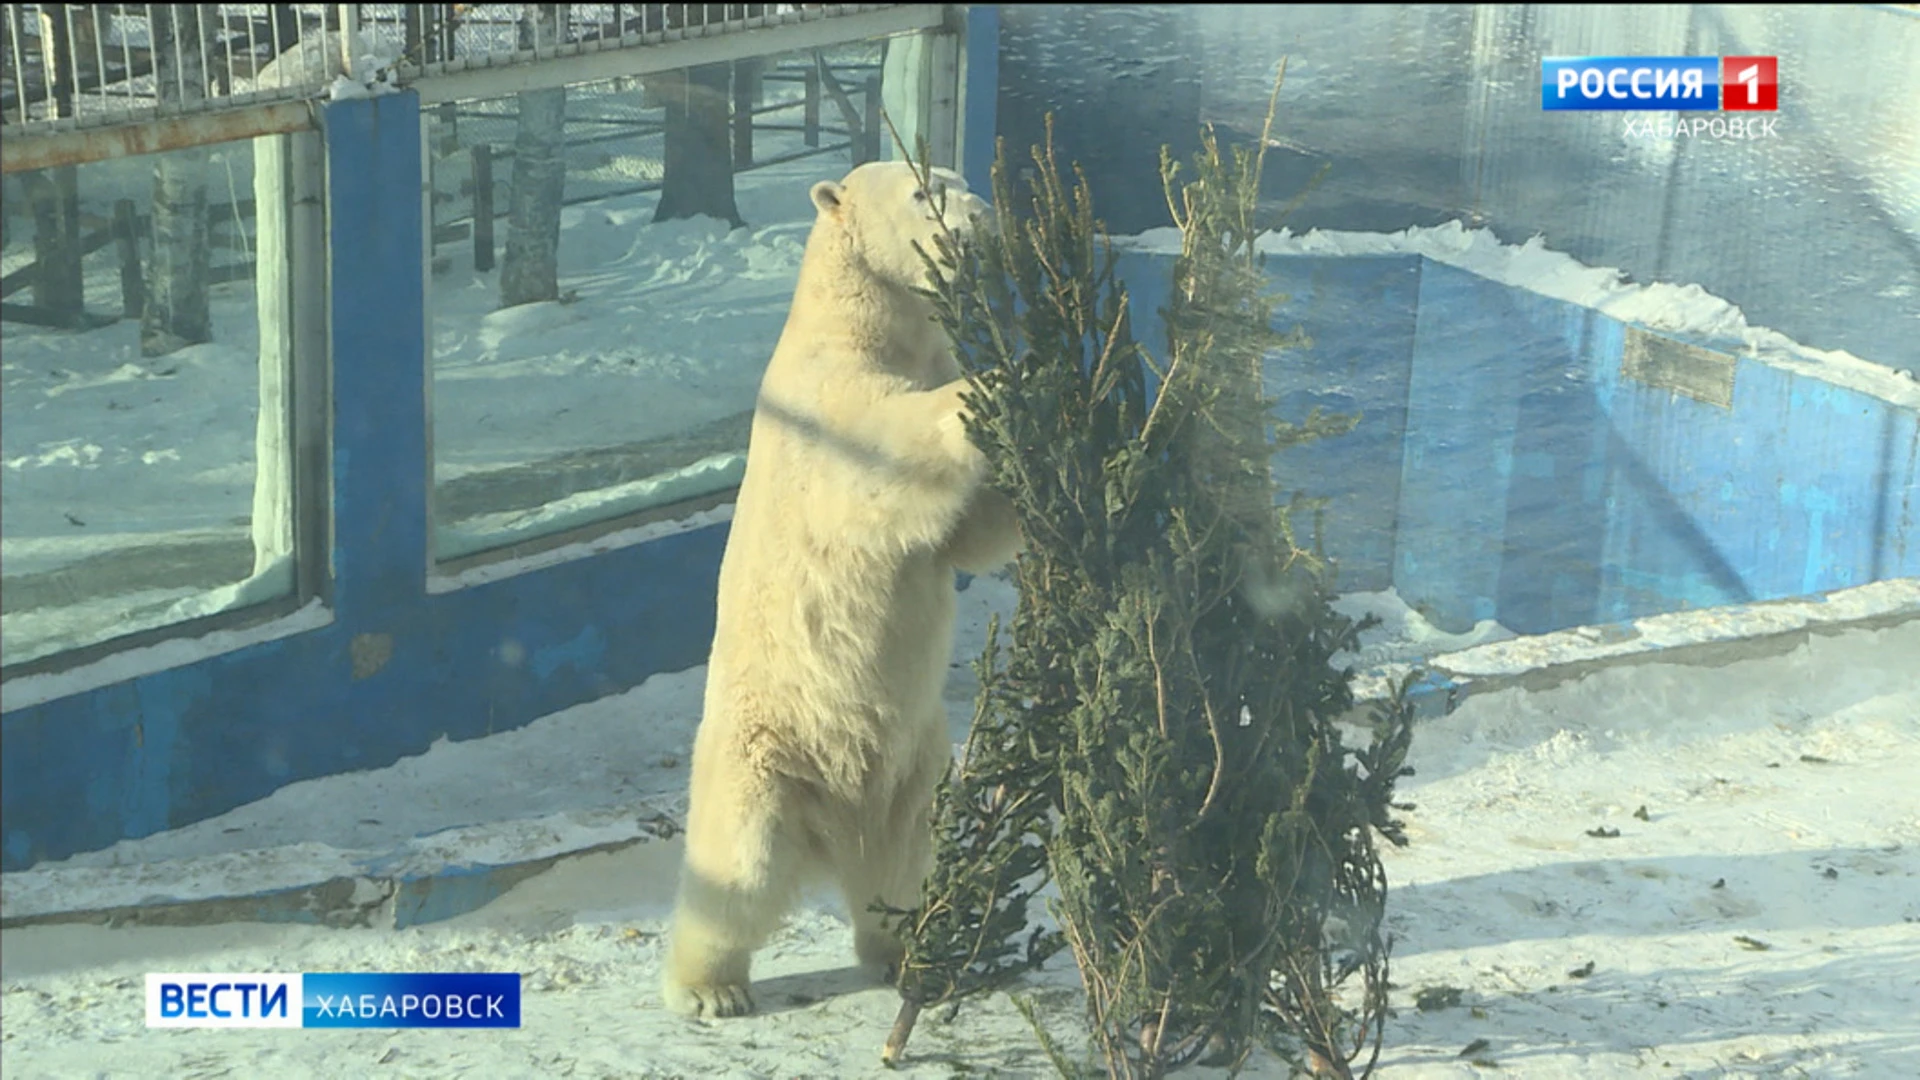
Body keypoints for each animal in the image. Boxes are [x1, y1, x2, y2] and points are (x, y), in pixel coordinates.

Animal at [660, 161, 1021, 1014]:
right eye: (925, 190)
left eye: (956, 177)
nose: (982, 219)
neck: (861, 316)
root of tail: (832, 831)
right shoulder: (826, 394)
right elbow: (887, 450)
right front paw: (995, 385)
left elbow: (970, 535)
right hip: (761, 757)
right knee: (737, 871)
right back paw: (707, 988)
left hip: (916, 771)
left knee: (906, 864)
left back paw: (912, 952)